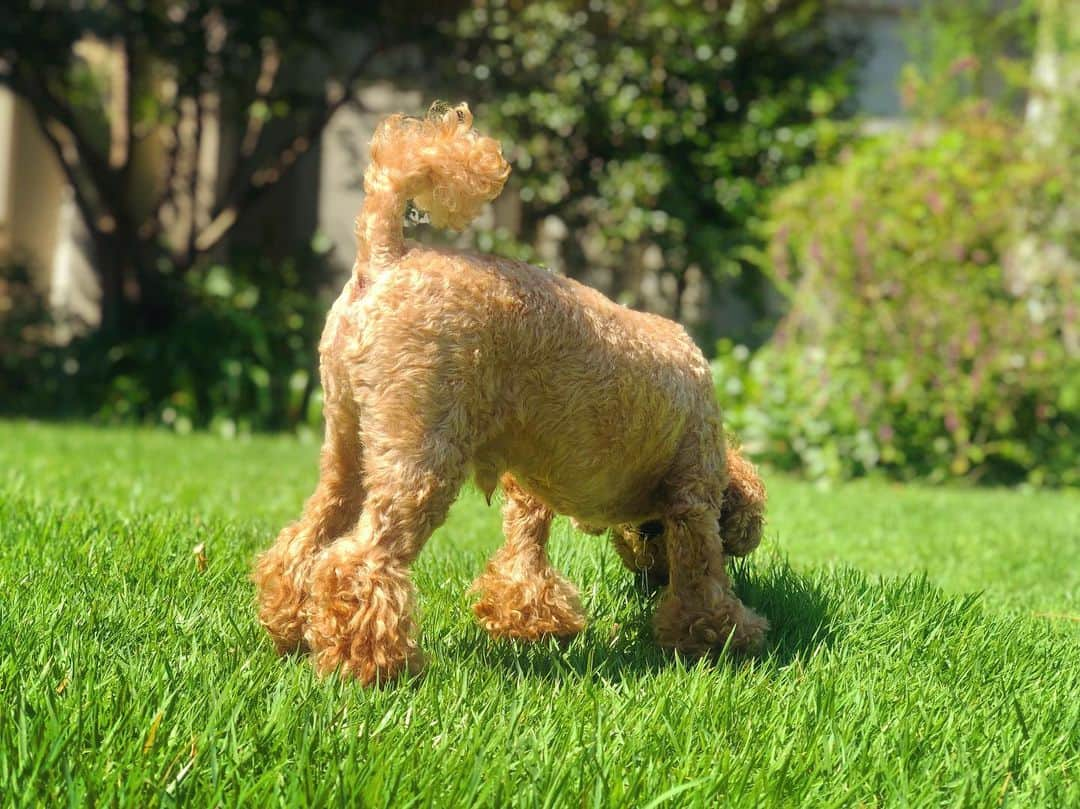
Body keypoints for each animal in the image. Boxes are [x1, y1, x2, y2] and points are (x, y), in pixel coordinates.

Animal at [252, 100, 768, 682]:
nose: (648, 573)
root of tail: (386, 258)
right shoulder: (693, 492)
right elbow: (703, 571)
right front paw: (725, 636)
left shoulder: (530, 486)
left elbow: (526, 547)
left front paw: (533, 621)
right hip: (421, 447)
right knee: (359, 558)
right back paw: (373, 665)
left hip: (348, 437)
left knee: (308, 537)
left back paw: (292, 630)